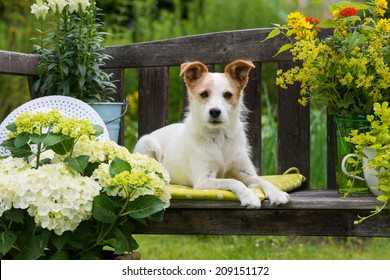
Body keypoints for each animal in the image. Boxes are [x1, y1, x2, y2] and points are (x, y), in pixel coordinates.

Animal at [134, 59, 290, 208]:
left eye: (227, 95)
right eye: (204, 94)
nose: (215, 111)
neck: (220, 138)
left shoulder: (245, 172)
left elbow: (262, 180)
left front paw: (276, 193)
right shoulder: (204, 180)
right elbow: (233, 181)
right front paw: (249, 196)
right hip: (147, 145)